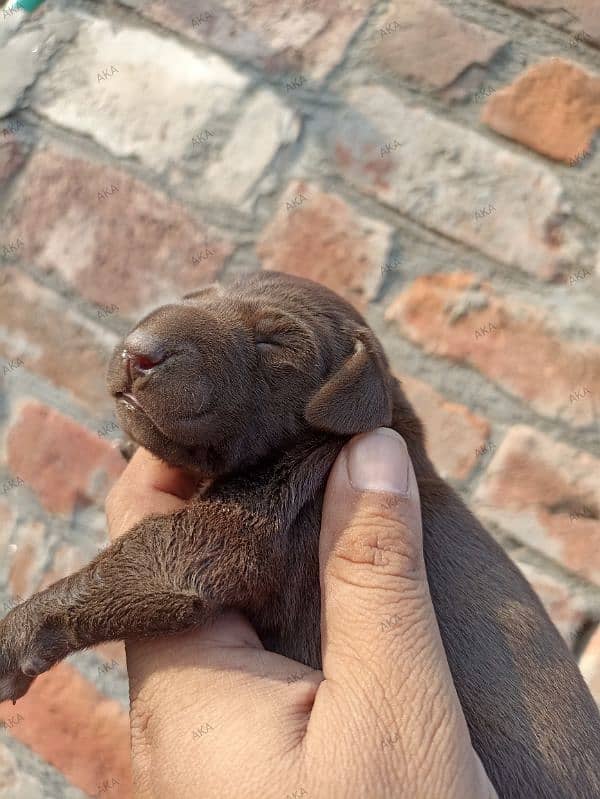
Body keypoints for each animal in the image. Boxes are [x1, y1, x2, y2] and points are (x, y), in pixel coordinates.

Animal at [1, 272, 600, 796]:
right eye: (196, 295)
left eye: (275, 341)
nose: (137, 351)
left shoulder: (254, 521)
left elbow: (142, 565)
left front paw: (14, 637)